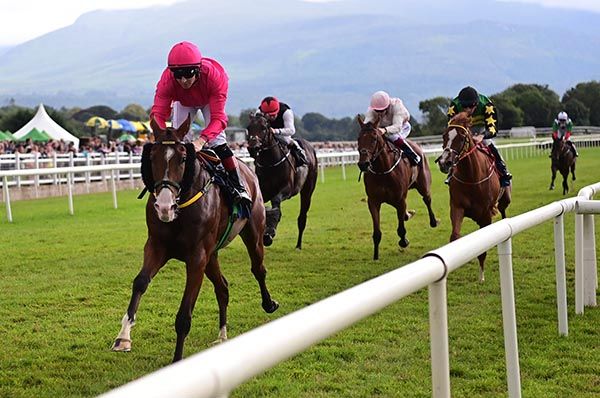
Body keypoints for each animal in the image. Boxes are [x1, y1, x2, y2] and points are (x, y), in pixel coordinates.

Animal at [112, 116, 278, 362]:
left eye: (183, 158)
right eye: (152, 157)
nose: (164, 206)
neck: (180, 210)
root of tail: (248, 170)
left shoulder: (197, 257)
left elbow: (184, 315)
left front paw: (177, 360)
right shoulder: (157, 246)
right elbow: (140, 282)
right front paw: (123, 337)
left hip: (253, 234)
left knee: (258, 269)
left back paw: (268, 303)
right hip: (212, 255)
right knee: (223, 287)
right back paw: (222, 335)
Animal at [245, 112, 318, 249]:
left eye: (264, 127)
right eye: (248, 127)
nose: (253, 147)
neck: (270, 163)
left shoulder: (286, 190)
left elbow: (276, 204)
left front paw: (269, 232)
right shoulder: (262, 190)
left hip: (307, 190)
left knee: (302, 218)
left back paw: (298, 245)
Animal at [354, 112, 438, 262]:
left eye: (374, 138)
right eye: (359, 138)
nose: (363, 164)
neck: (383, 171)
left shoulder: (400, 199)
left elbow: (401, 229)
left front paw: (404, 241)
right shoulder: (373, 201)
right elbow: (377, 232)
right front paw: (376, 255)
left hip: (423, 184)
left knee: (427, 199)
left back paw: (433, 221)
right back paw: (408, 214)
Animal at [436, 110, 510, 282]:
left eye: (462, 137)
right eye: (444, 136)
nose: (444, 162)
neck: (471, 177)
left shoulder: (485, 213)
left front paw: (481, 275)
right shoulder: (456, 207)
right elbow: (455, 236)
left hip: (505, 200)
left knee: (503, 212)